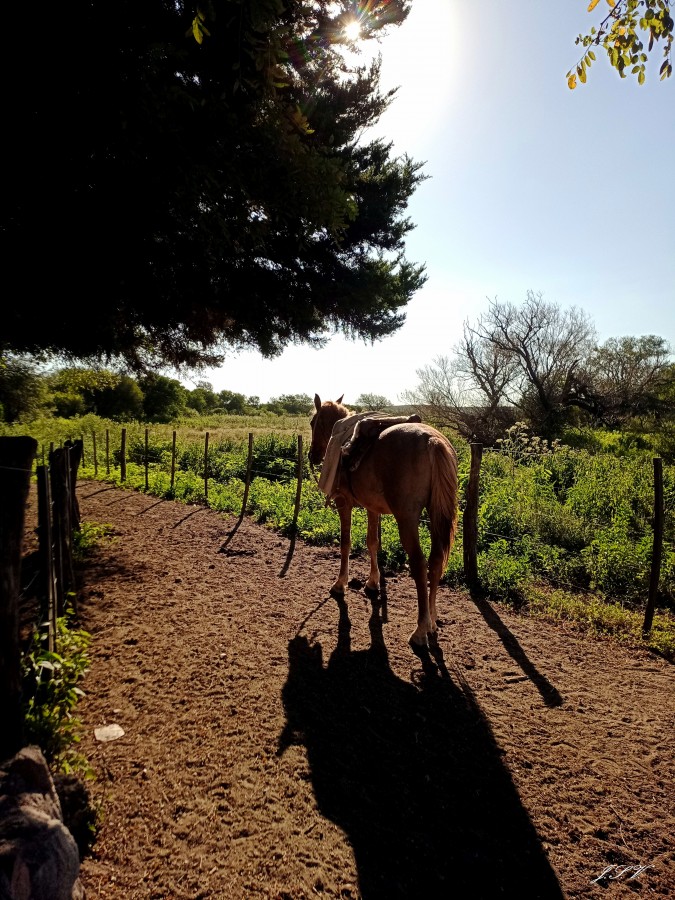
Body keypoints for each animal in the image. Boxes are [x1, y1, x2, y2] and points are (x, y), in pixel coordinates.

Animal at [308, 394, 460, 648]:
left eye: (313, 422)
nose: (312, 455)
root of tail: (433, 441)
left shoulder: (343, 503)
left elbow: (346, 543)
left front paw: (340, 584)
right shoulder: (373, 508)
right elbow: (372, 542)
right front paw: (373, 582)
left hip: (407, 518)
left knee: (420, 564)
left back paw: (420, 630)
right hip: (436, 514)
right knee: (436, 561)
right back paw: (431, 621)